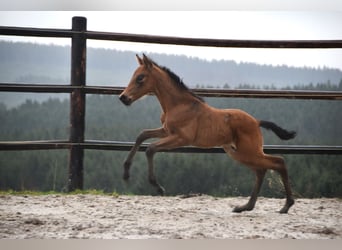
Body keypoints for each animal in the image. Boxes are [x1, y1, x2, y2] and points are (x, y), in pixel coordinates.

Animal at [119, 54, 296, 213]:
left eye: (140, 78)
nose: (123, 98)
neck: (179, 105)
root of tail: (257, 122)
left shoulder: (181, 138)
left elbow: (151, 149)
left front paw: (158, 187)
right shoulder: (166, 131)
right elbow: (142, 135)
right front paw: (126, 173)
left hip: (248, 152)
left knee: (278, 162)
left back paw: (286, 205)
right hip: (239, 153)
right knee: (261, 170)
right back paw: (246, 207)